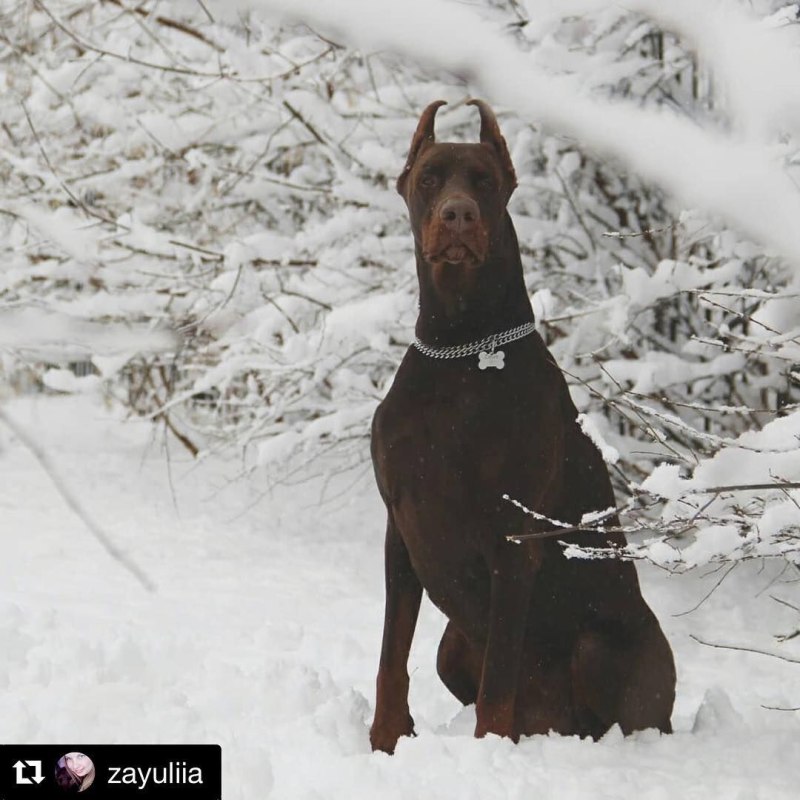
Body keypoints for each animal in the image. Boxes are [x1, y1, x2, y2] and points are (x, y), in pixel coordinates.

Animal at [368, 100, 676, 756]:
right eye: (430, 176)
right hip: (453, 643)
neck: (460, 349)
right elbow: (391, 655)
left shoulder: (513, 543)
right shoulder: (400, 529)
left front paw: (488, 752)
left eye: (484, 181)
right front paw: (385, 742)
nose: (458, 214)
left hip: (602, 646)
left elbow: (500, 681)